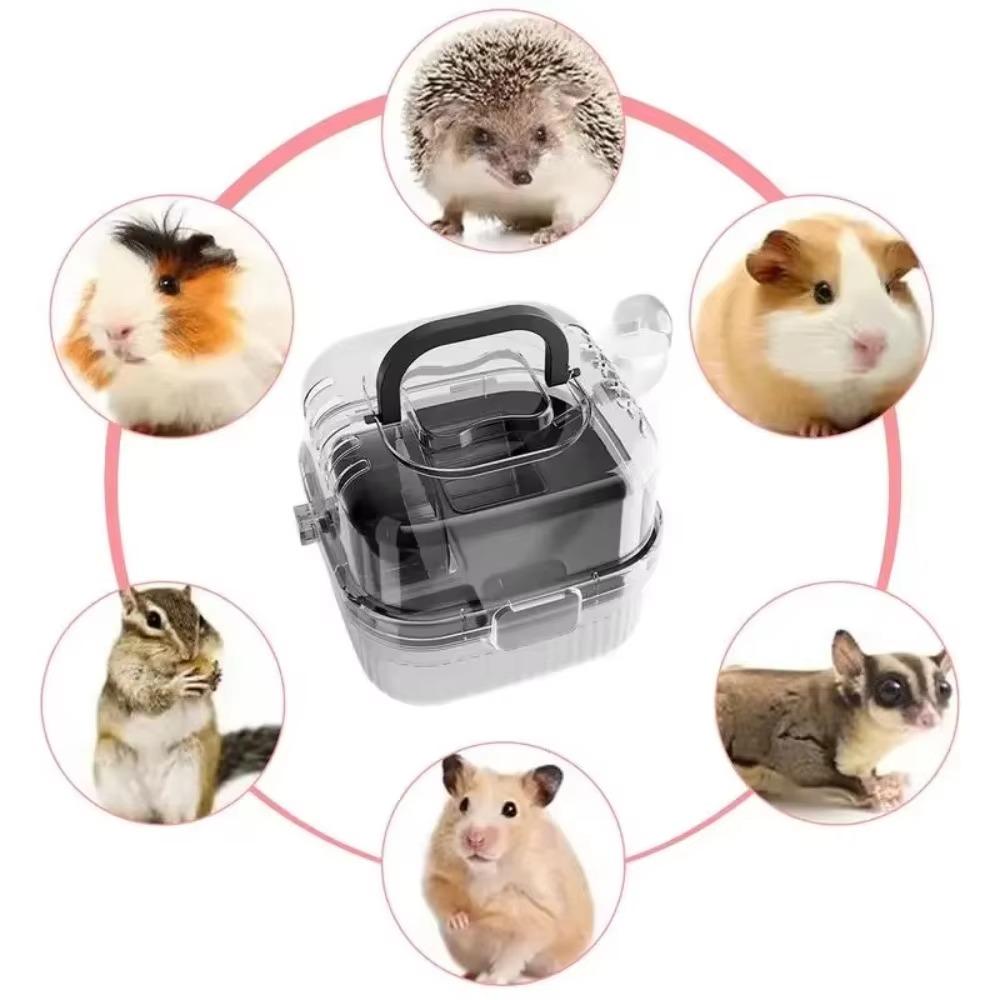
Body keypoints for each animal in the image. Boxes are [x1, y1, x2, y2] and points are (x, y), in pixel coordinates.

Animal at [424, 754, 594, 985]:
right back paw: (469, 975)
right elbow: (442, 898)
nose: (474, 839)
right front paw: (462, 922)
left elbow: (510, 953)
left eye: (510, 809)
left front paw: (485, 917)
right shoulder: (438, 874)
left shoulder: (538, 915)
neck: (486, 871)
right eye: (463, 804)